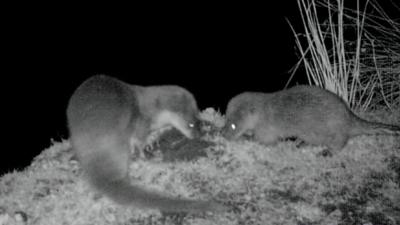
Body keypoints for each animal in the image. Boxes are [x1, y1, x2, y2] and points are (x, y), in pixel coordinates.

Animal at [223, 85, 398, 152]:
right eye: (225, 121)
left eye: (233, 126)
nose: (223, 135)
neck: (264, 111)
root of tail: (348, 117)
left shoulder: (266, 130)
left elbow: (262, 141)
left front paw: (246, 138)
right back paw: (299, 144)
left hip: (330, 132)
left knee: (341, 142)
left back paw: (326, 152)